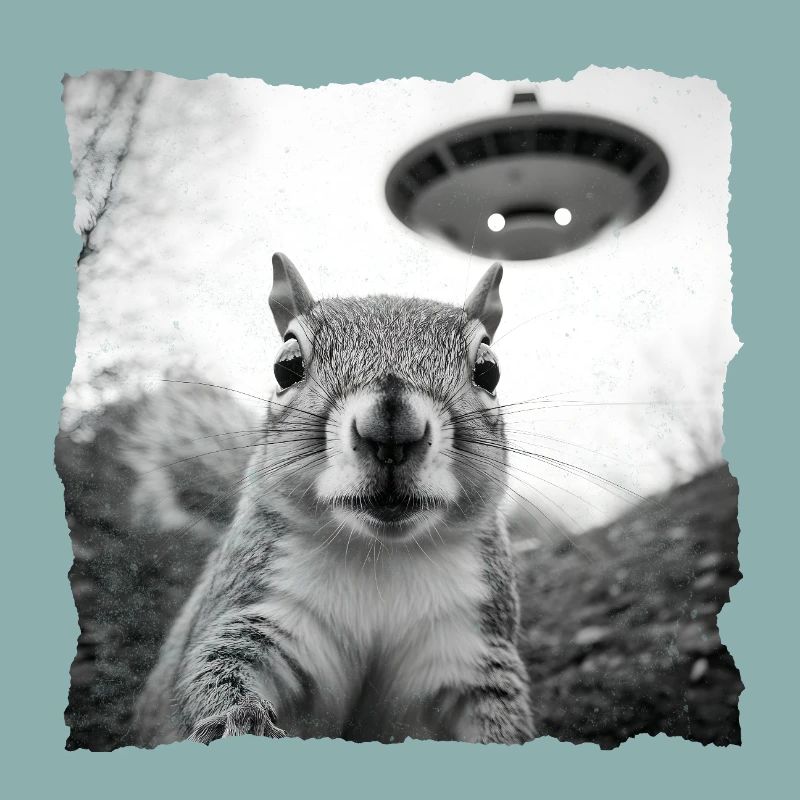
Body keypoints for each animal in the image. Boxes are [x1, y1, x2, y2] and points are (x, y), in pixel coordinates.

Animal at [133, 252, 535, 746]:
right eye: (286, 366)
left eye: (488, 370)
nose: (391, 428)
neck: (381, 555)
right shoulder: (263, 609)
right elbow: (217, 667)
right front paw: (237, 722)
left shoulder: (469, 647)